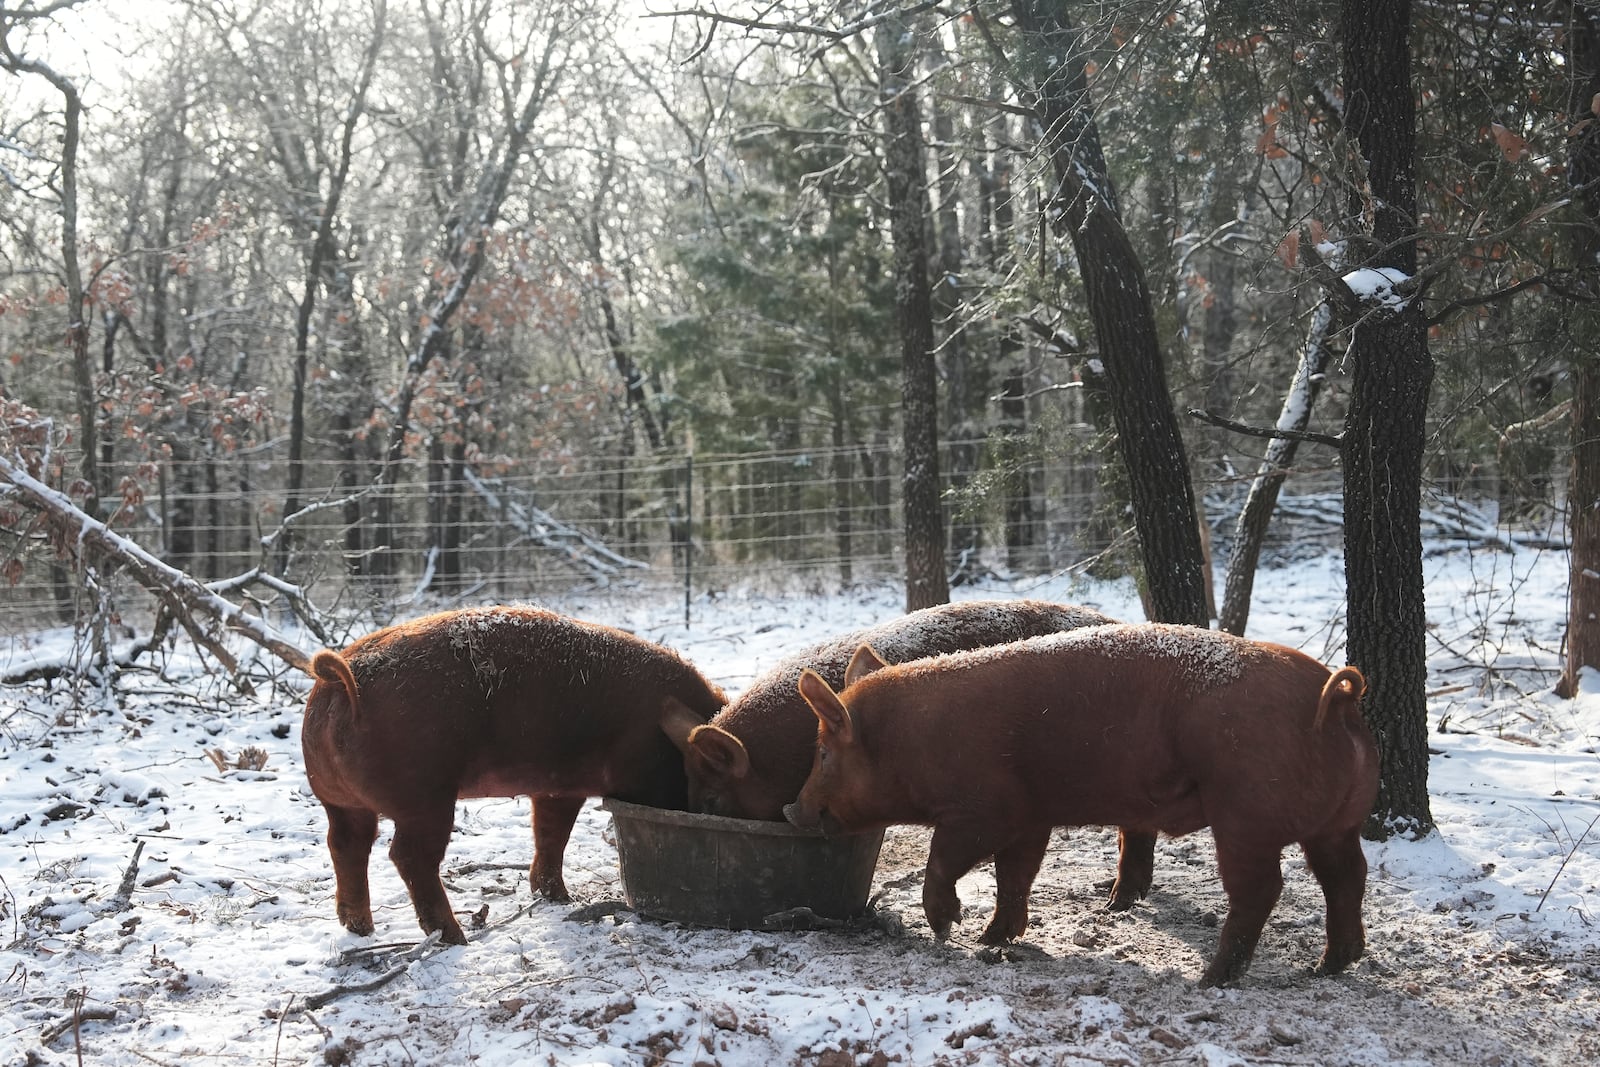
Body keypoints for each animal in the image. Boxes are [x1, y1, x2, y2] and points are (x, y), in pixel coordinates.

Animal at [300, 604, 726, 947]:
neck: (658, 737)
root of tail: (343, 680)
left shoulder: (558, 787)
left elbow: (551, 834)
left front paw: (557, 898)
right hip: (425, 797)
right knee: (407, 855)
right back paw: (454, 938)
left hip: (338, 800)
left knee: (346, 844)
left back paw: (360, 928)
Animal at [784, 620, 1376, 991]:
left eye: (822, 752)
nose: (792, 810)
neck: (908, 742)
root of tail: (1332, 696)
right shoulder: (1030, 817)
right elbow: (1014, 874)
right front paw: (993, 939)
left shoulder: (984, 810)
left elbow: (945, 859)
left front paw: (949, 930)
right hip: (1337, 823)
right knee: (1347, 875)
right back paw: (1329, 967)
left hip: (1245, 814)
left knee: (1262, 889)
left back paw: (1212, 979)